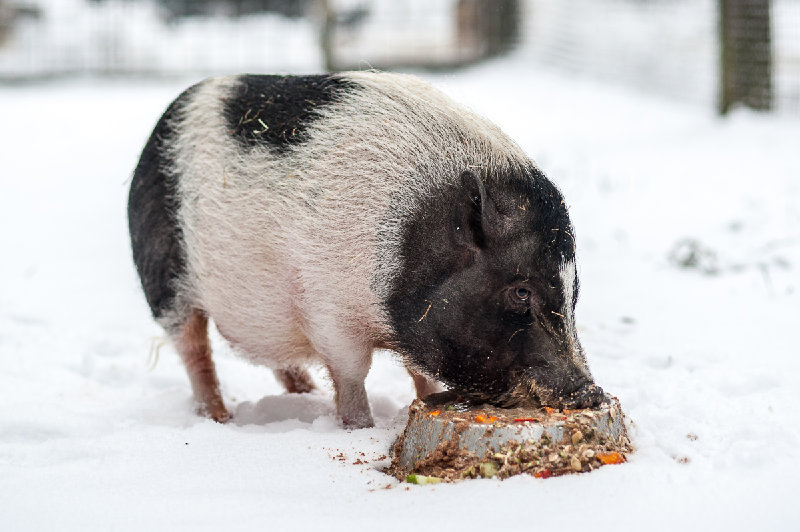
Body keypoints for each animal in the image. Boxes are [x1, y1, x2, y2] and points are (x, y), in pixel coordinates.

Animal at [127, 72, 605, 428]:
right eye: (520, 291)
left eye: (574, 292)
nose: (590, 391)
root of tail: (163, 122)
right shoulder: (329, 311)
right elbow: (352, 376)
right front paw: (361, 427)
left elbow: (421, 375)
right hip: (163, 277)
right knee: (193, 351)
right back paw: (220, 418)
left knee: (277, 359)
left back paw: (304, 394)